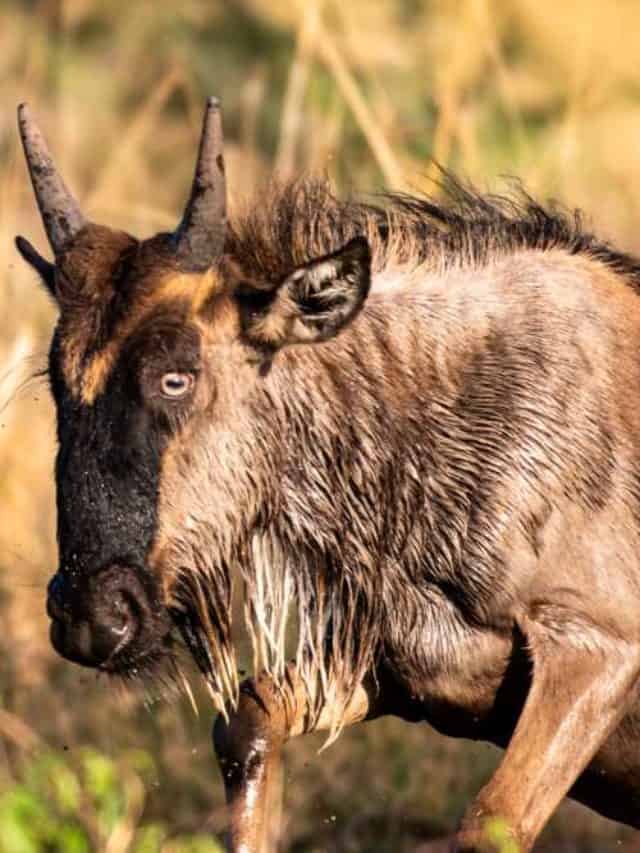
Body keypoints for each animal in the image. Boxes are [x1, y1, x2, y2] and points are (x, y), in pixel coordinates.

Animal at [16, 98, 640, 852]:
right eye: (58, 381)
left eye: (176, 376)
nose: (91, 615)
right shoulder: (409, 669)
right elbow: (246, 723)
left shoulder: (593, 650)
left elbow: (489, 823)